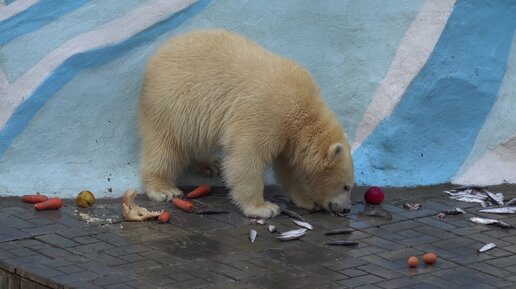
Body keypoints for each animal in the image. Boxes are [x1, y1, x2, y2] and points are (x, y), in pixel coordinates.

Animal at [138, 29, 354, 218]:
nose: (347, 209)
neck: (302, 109)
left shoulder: (288, 136)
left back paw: (209, 164)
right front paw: (263, 208)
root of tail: (156, 56)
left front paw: (309, 201)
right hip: (173, 102)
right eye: (345, 186)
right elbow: (247, 156)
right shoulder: (267, 113)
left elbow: (290, 169)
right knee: (166, 146)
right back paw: (164, 189)